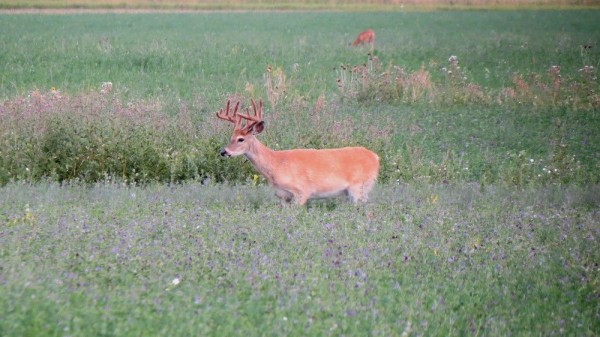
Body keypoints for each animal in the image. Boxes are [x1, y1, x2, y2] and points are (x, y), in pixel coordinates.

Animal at [217, 98, 380, 205]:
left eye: (241, 139)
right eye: (230, 137)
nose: (223, 151)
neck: (276, 164)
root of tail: (376, 157)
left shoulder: (302, 191)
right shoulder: (283, 196)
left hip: (359, 187)